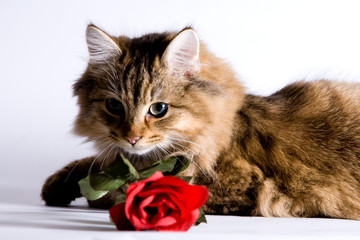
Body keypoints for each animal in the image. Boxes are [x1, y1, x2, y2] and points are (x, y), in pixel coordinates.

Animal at [40, 24, 360, 219]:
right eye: (114, 106)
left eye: (158, 109)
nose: (132, 137)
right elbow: (92, 165)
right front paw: (58, 186)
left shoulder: (236, 188)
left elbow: (122, 190)